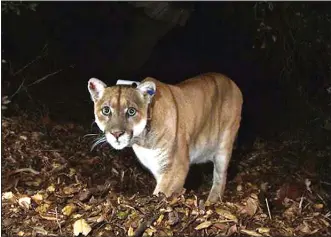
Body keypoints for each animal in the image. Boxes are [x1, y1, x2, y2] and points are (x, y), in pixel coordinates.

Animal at [88, 73, 244, 203]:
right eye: (106, 110)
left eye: (131, 111)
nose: (116, 134)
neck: (142, 141)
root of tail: (232, 82)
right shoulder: (158, 168)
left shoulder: (176, 168)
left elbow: (160, 193)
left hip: (224, 145)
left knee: (220, 177)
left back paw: (211, 201)